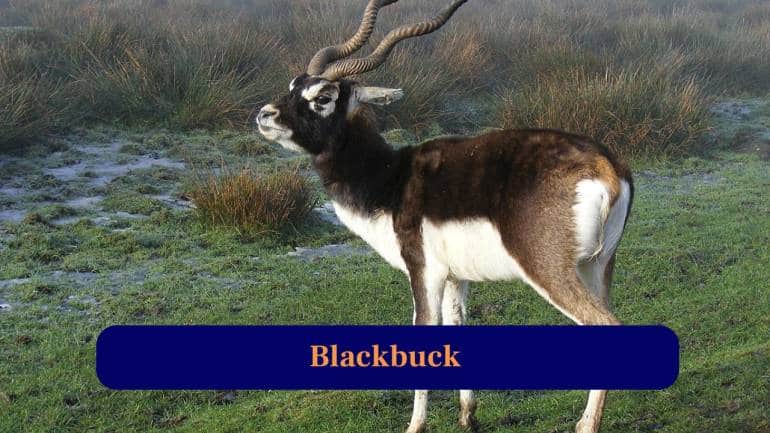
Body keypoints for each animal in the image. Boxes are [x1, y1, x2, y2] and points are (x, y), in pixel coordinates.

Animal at [256, 1, 634, 432]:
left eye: (323, 96)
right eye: (293, 85)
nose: (265, 115)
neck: (391, 179)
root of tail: (607, 167)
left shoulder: (423, 271)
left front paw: (415, 425)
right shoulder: (457, 277)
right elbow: (458, 328)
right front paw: (467, 416)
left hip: (550, 271)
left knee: (606, 326)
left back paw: (586, 424)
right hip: (597, 267)